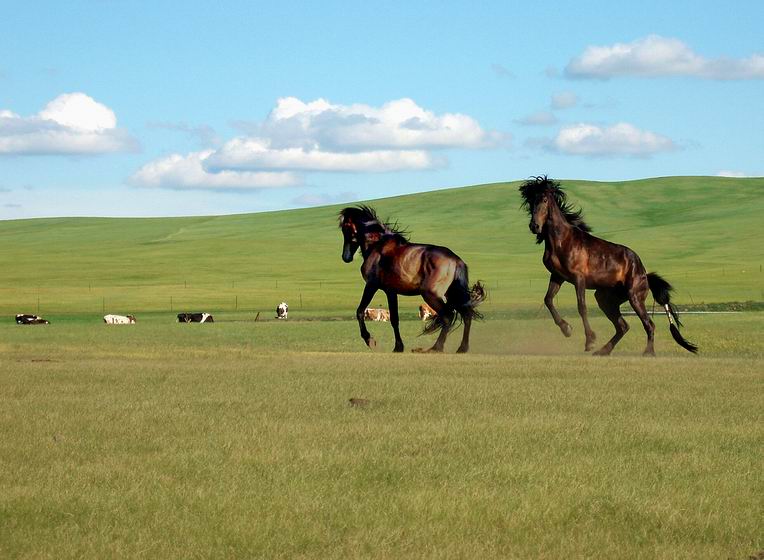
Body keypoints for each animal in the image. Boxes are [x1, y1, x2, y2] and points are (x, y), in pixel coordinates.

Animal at [338, 206, 486, 354]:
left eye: (345, 227)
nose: (346, 257)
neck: (377, 246)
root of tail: (456, 260)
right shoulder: (390, 291)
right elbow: (394, 319)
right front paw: (398, 347)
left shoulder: (371, 285)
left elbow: (360, 311)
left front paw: (370, 340)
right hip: (453, 293)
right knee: (466, 315)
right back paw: (462, 348)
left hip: (431, 295)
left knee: (448, 316)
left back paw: (436, 348)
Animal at [520, 177, 700, 356]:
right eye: (530, 201)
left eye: (544, 200)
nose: (534, 226)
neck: (562, 241)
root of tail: (644, 273)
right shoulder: (557, 276)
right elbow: (548, 300)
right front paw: (567, 329)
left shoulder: (579, 278)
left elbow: (581, 307)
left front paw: (590, 341)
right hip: (605, 299)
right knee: (623, 326)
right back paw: (603, 351)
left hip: (634, 297)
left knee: (649, 324)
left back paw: (647, 352)